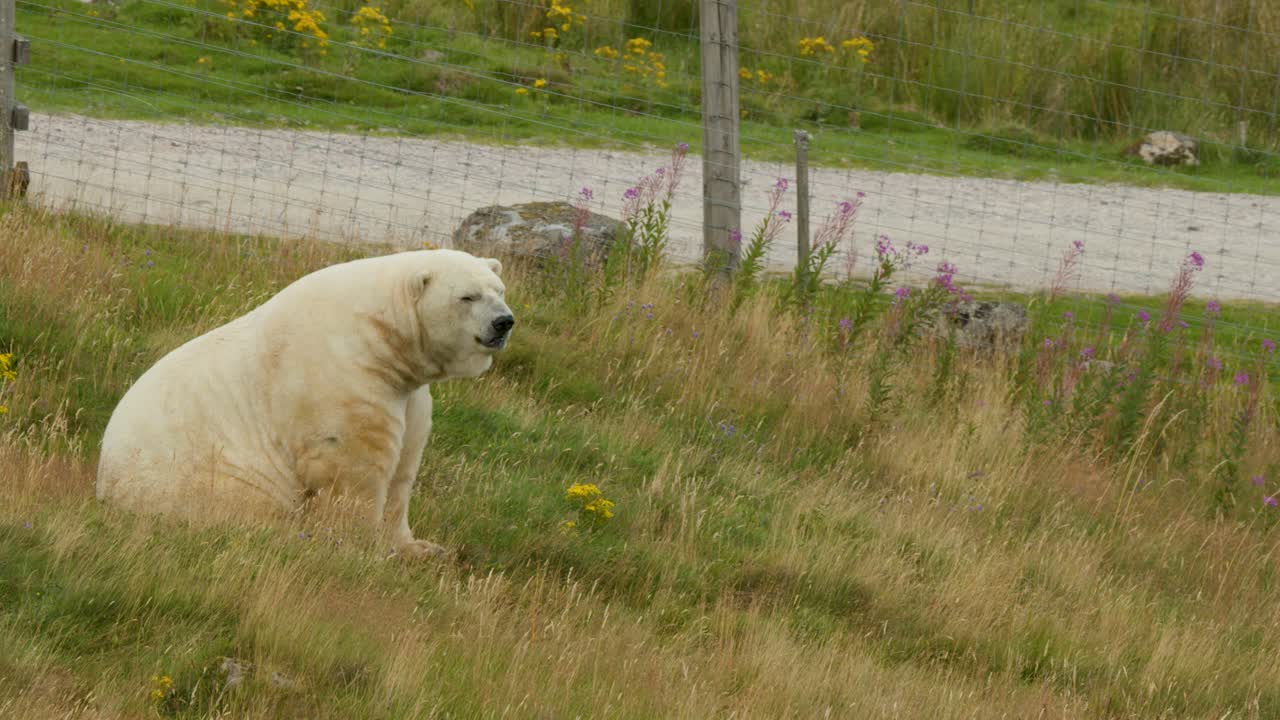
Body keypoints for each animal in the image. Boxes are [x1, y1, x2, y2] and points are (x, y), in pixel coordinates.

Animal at [95, 248, 515, 558]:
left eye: (500, 290)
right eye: (467, 296)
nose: (504, 322)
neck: (380, 337)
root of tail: (104, 487)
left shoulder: (408, 394)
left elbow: (403, 471)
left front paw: (423, 549)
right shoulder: (346, 380)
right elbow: (355, 472)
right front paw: (362, 549)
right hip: (201, 481)